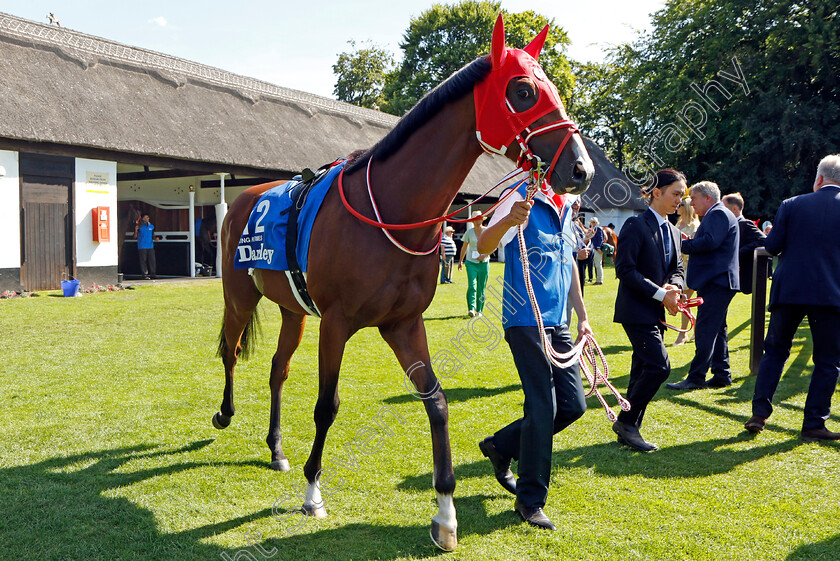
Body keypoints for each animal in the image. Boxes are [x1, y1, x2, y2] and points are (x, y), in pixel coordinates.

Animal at [213, 15, 592, 548]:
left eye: (553, 88)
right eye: (522, 91)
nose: (581, 168)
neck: (392, 210)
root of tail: (245, 198)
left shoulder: (403, 324)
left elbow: (437, 402)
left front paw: (446, 513)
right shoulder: (335, 323)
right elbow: (327, 406)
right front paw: (313, 493)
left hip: (292, 310)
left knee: (277, 370)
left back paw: (276, 448)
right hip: (240, 296)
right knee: (230, 351)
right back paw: (225, 414)